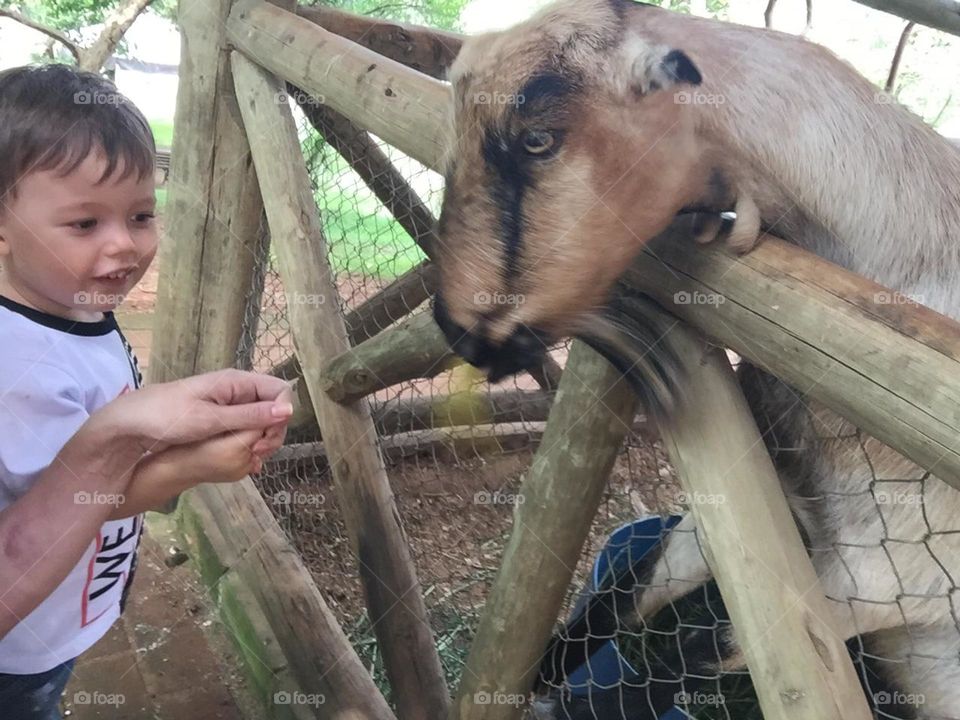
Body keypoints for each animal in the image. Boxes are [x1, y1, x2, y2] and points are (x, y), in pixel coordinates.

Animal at [432, 1, 960, 720]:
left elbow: (687, 662)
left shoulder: (871, 582)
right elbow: (626, 593)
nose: (456, 328)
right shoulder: (747, 506)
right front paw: (535, 671)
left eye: (538, 139)